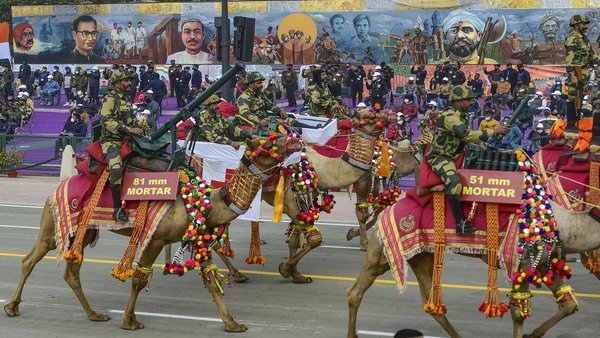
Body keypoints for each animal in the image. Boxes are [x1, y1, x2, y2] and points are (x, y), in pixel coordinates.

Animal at [3, 133, 304, 332]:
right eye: (270, 143)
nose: (295, 137)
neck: (203, 200)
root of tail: (59, 184)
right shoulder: (156, 237)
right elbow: (139, 279)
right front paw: (130, 320)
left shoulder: (198, 237)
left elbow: (211, 280)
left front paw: (233, 323)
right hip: (54, 226)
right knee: (30, 259)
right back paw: (11, 307)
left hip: (84, 232)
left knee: (71, 271)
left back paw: (94, 314)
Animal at [346, 198, 596, 338]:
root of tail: (388, 209)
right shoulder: (522, 262)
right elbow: (518, 313)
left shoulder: (542, 263)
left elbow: (569, 304)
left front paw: (532, 335)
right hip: (383, 249)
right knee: (356, 291)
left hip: (421, 254)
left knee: (429, 301)